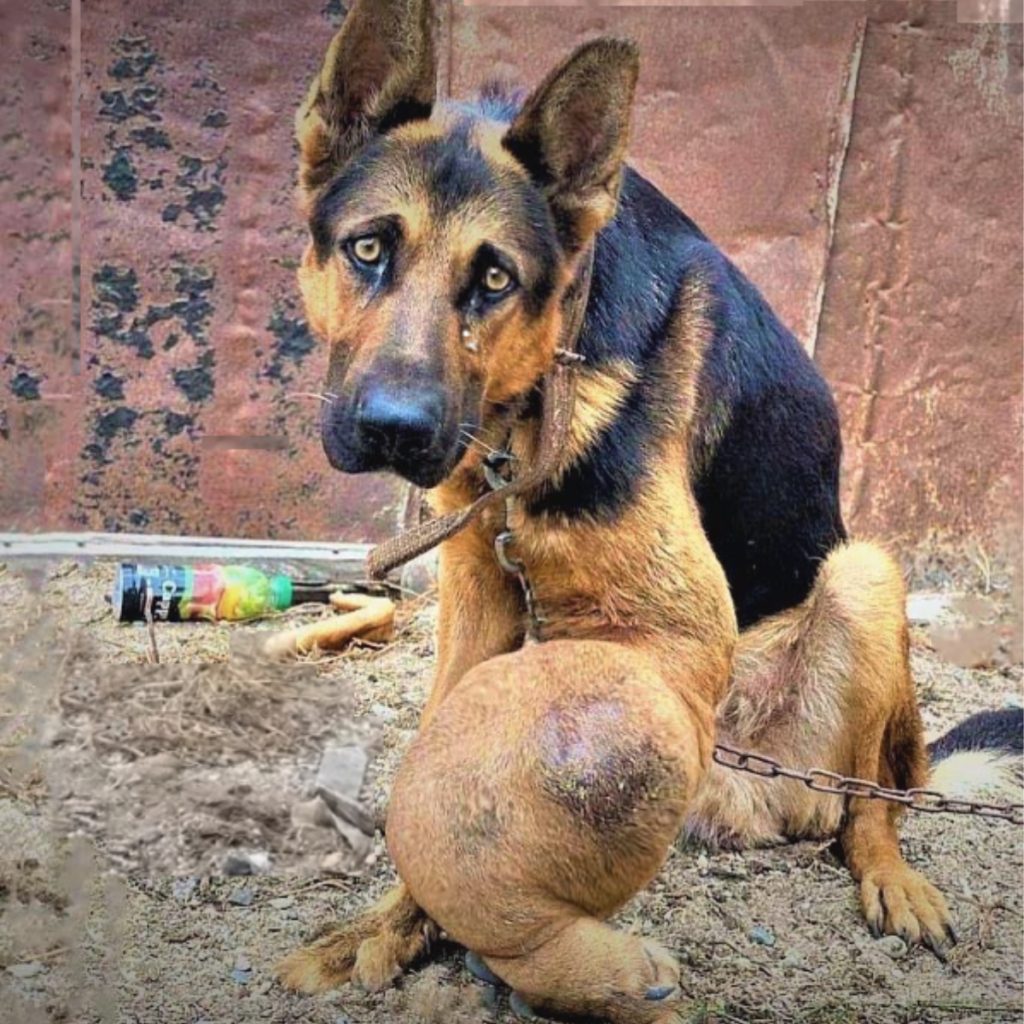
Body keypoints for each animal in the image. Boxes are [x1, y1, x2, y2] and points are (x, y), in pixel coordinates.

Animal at [276, 4, 1019, 1019]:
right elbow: (430, 774)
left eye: (495, 280)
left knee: (872, 800)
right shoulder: (474, 584)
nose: (395, 428)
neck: (531, 406)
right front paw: (396, 924)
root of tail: (753, 786)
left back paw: (890, 877)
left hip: (864, 575)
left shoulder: (678, 625)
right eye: (368, 248)